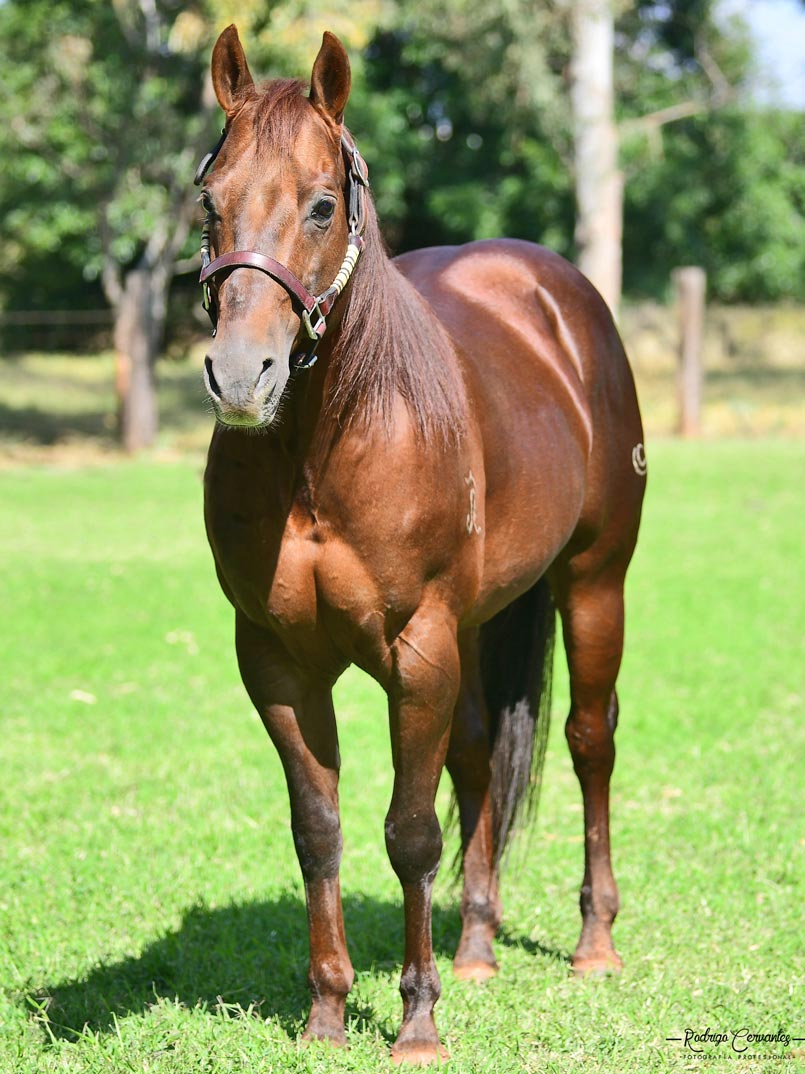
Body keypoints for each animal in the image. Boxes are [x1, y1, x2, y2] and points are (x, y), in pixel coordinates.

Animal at [198, 25, 648, 1065]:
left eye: (323, 203)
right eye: (209, 202)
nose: (241, 376)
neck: (323, 449)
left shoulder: (417, 652)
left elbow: (408, 832)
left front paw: (415, 1022)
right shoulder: (277, 661)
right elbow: (317, 829)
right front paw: (328, 1014)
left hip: (591, 584)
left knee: (588, 741)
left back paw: (593, 945)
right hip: (481, 625)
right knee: (480, 757)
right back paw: (477, 948)